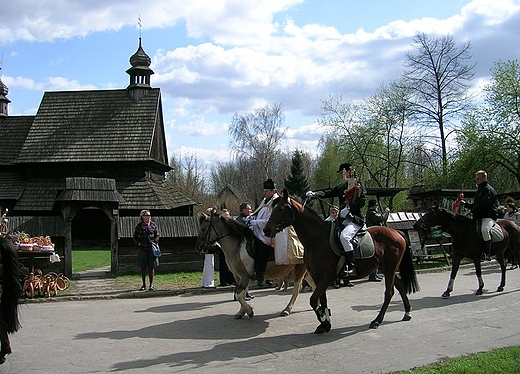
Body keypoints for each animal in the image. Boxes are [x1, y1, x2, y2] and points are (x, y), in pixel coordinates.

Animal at [266, 188, 420, 334]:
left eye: (281, 208)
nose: (266, 230)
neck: (316, 239)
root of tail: (395, 232)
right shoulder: (317, 276)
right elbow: (322, 299)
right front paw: (325, 324)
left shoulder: (328, 276)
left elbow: (314, 300)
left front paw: (323, 317)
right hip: (385, 267)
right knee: (400, 285)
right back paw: (407, 312)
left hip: (390, 268)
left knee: (389, 292)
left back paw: (377, 320)